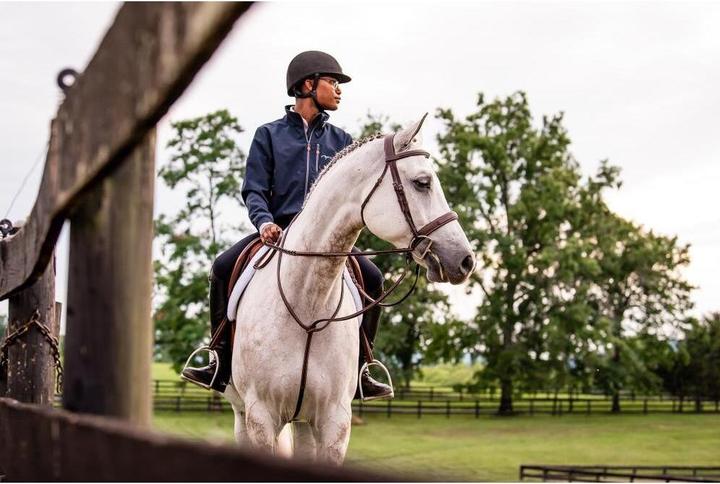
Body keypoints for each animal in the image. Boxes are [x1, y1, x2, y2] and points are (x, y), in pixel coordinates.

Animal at [222, 114, 475, 464]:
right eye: (422, 183)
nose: (465, 260)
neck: (308, 309)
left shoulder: (334, 422)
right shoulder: (261, 417)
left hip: (303, 421)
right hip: (242, 413)